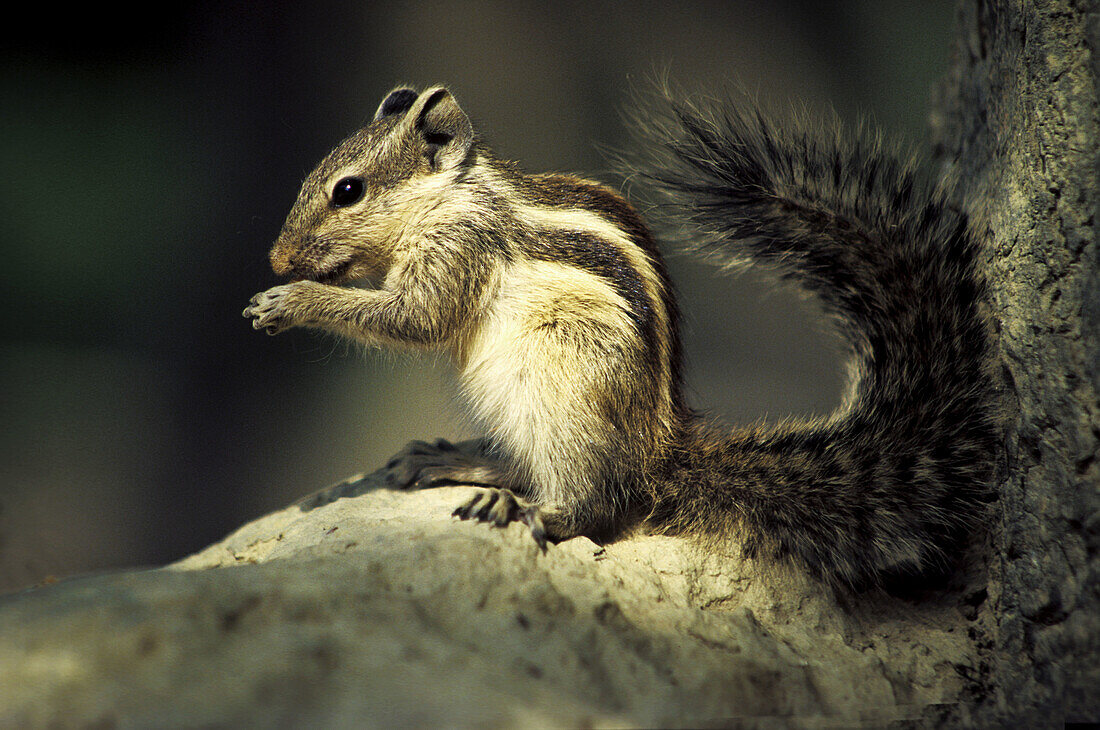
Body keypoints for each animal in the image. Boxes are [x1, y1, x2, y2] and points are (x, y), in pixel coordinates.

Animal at [247, 85, 998, 589]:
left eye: (348, 190)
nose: (277, 260)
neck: (455, 197)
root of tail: (660, 453)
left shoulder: (459, 250)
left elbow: (414, 319)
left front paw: (292, 301)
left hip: (564, 394)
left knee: (595, 502)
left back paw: (527, 509)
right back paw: (462, 462)